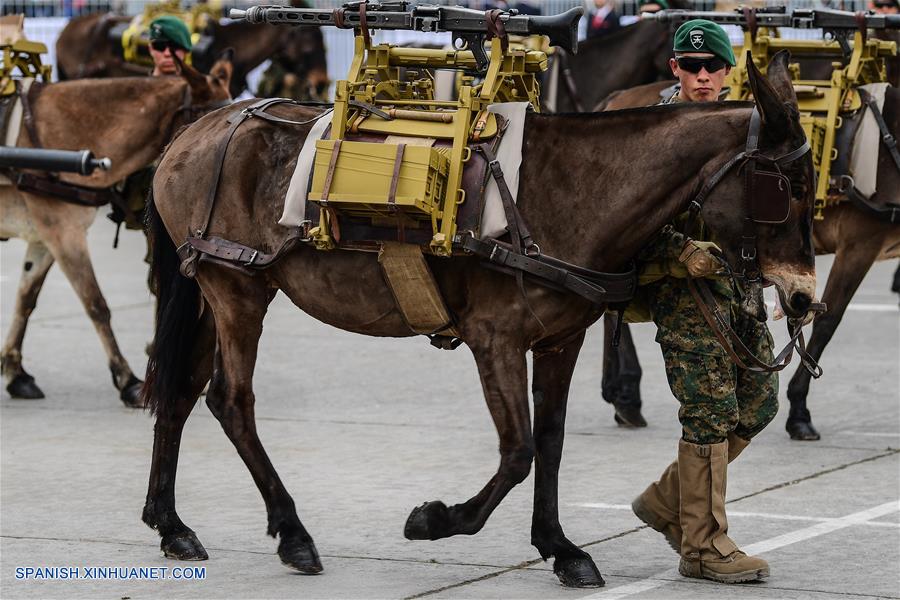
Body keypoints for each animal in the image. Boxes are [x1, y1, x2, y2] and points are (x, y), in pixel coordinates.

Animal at [141, 54, 816, 588]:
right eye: (786, 187)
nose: (804, 297)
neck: (567, 190)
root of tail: (199, 128)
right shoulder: (496, 340)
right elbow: (518, 451)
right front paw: (439, 520)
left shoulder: (560, 341)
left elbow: (550, 442)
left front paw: (560, 547)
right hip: (238, 292)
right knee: (231, 401)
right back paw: (292, 532)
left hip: (210, 295)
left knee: (179, 393)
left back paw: (171, 524)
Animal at [596, 79, 896, 438]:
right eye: (789, 191)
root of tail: (617, 96)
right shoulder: (859, 243)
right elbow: (829, 321)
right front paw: (799, 410)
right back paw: (626, 396)